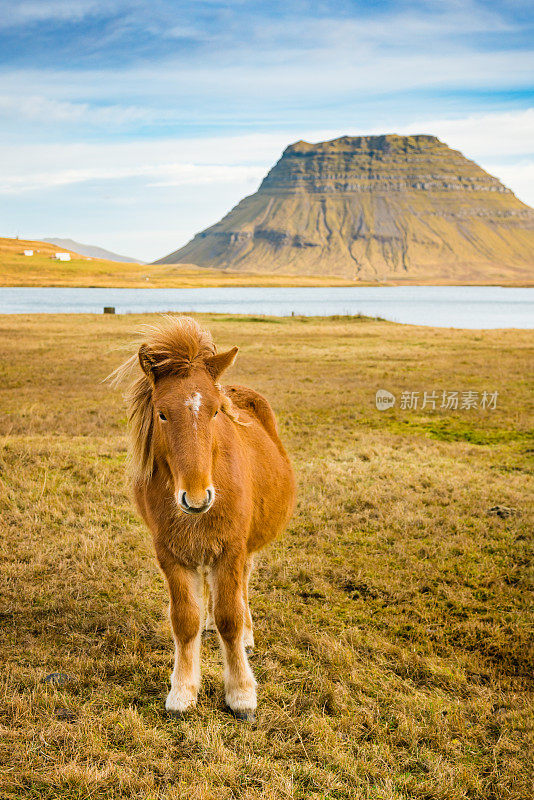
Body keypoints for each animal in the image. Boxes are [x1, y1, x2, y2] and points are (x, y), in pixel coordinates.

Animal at [110, 316, 298, 720]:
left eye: (214, 411)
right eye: (162, 413)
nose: (197, 498)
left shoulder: (230, 550)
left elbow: (230, 617)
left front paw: (241, 693)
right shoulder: (172, 556)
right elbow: (185, 621)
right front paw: (182, 692)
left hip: (243, 549)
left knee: (241, 588)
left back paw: (246, 635)